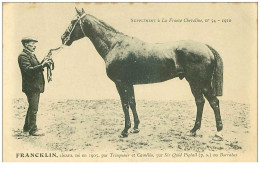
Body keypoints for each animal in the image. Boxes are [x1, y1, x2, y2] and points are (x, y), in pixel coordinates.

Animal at [60, 7, 223, 140]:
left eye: (73, 21)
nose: (63, 38)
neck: (114, 45)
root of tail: (206, 48)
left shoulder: (120, 83)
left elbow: (125, 104)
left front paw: (125, 130)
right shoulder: (129, 83)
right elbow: (132, 102)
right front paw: (136, 128)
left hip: (201, 82)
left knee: (214, 102)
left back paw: (218, 132)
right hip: (193, 82)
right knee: (200, 102)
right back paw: (194, 130)